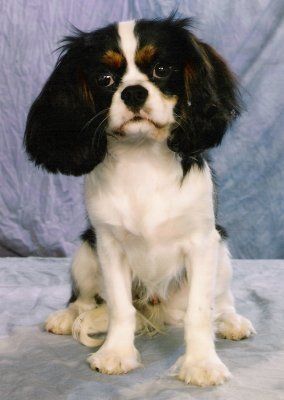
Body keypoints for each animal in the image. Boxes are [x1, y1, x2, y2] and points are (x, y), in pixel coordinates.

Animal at [25, 17, 255, 386]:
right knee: (84, 300)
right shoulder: (108, 246)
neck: (142, 156)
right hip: (84, 255)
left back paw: (232, 321)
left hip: (223, 255)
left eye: (161, 70)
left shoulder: (203, 243)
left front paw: (201, 364)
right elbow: (121, 308)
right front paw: (116, 354)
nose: (134, 92)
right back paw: (66, 316)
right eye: (105, 79)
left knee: (222, 300)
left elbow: (200, 311)